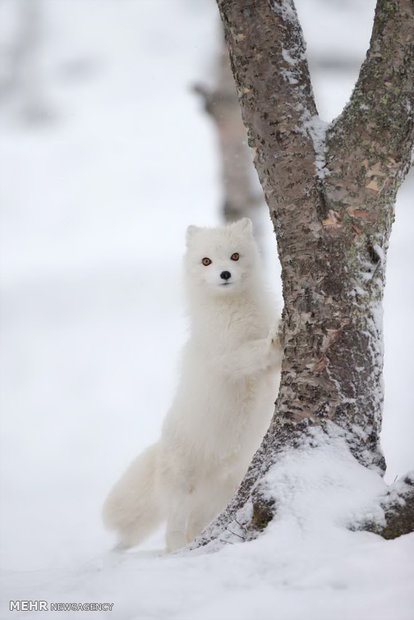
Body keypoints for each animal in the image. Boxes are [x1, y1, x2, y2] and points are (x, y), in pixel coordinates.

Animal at [102, 219, 282, 552]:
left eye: (234, 256)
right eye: (206, 261)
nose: (224, 274)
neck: (235, 314)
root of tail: (159, 448)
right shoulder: (224, 357)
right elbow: (250, 354)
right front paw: (276, 338)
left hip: (218, 496)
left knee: (193, 528)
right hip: (181, 486)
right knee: (172, 532)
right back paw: (175, 553)